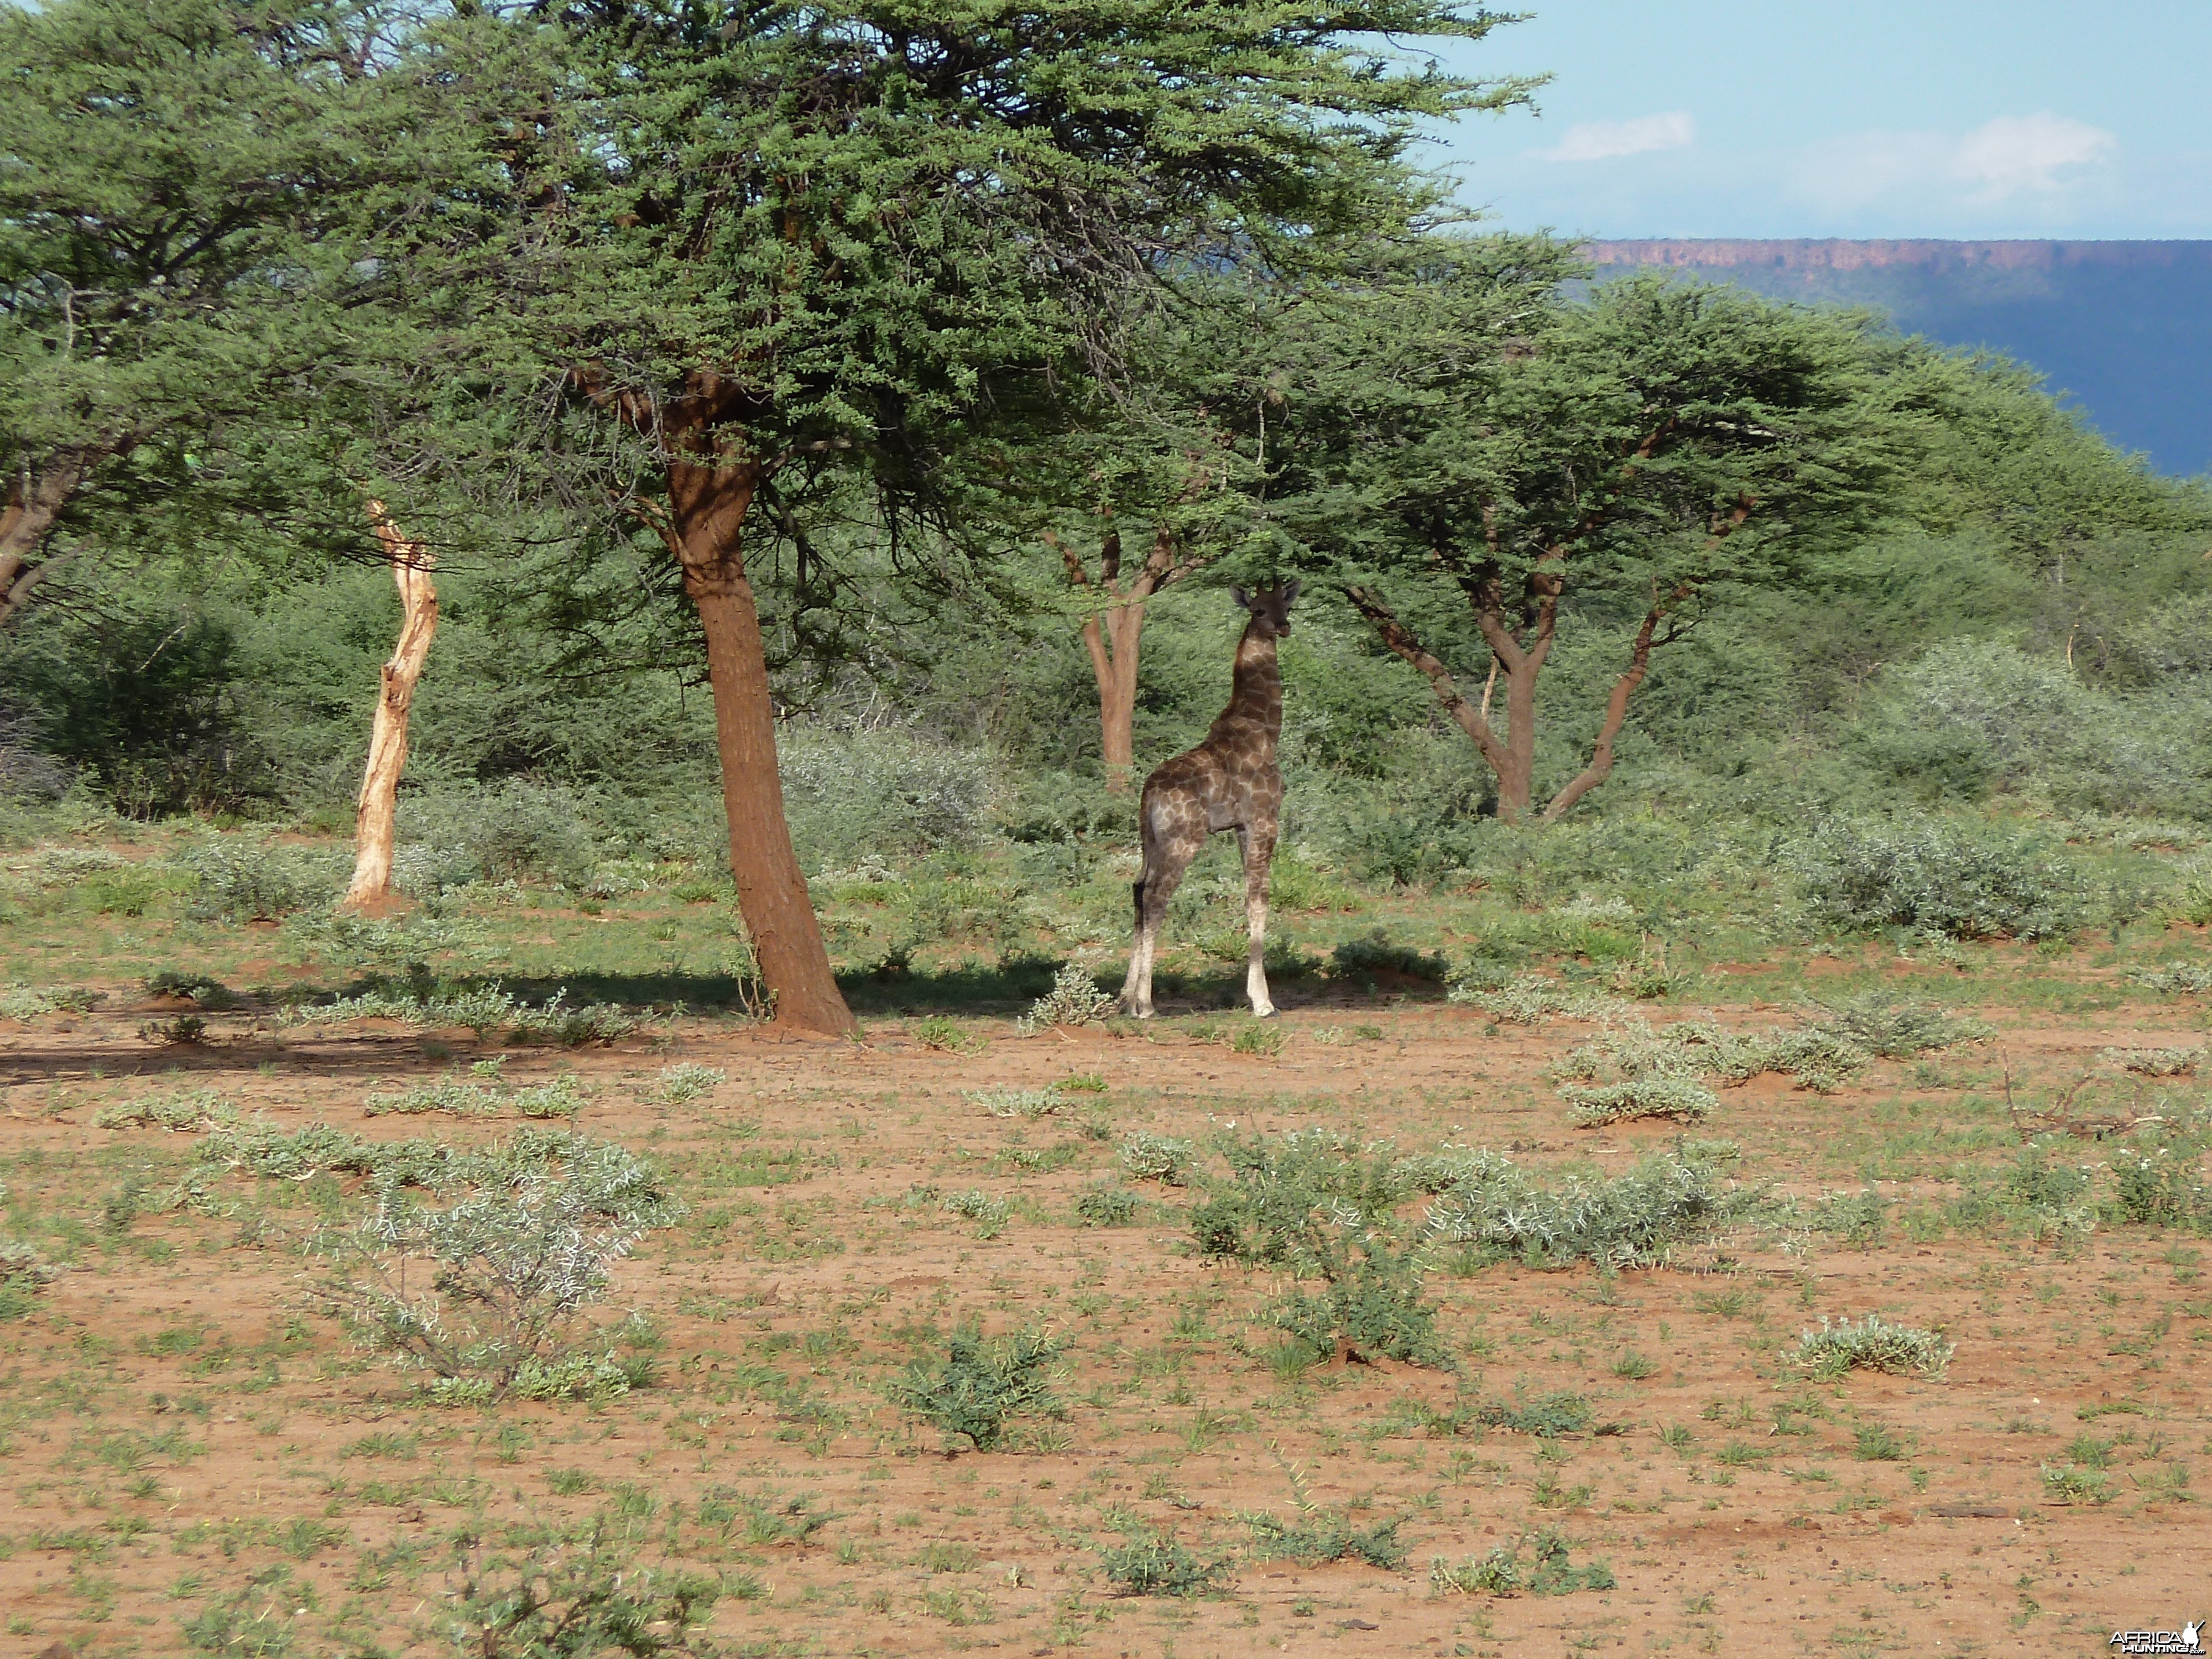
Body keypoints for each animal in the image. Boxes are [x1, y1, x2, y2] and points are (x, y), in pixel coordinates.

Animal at [1124, 580, 1292, 1022]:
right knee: (1156, 898)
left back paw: (1124, 998)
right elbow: (1259, 899)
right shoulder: (1264, 821)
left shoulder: (1240, 828)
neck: (1265, 728)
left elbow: (1249, 899)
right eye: (1258, 610)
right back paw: (1145, 1004)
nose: (1283, 627)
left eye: (1286, 604)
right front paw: (1263, 1002)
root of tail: (1150, 793)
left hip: (1150, 841)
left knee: (1138, 890)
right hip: (1183, 840)